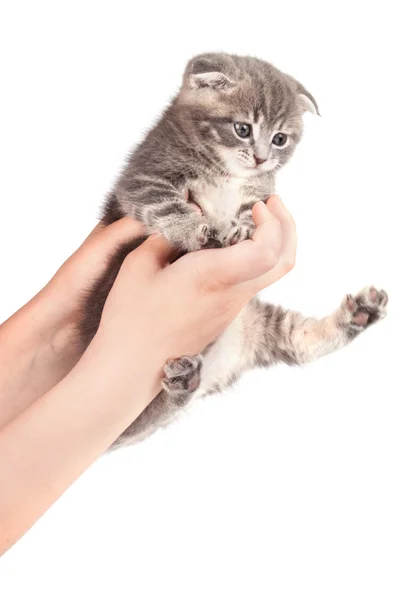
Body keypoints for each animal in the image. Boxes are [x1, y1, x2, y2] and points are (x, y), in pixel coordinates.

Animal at [79, 54, 390, 446]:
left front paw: (243, 228)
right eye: (243, 129)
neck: (225, 170)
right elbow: (163, 204)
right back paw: (181, 384)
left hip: (256, 322)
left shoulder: (260, 194)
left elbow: (252, 209)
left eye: (279, 139)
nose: (260, 158)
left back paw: (359, 314)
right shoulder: (142, 177)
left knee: (297, 340)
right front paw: (196, 229)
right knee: (141, 411)